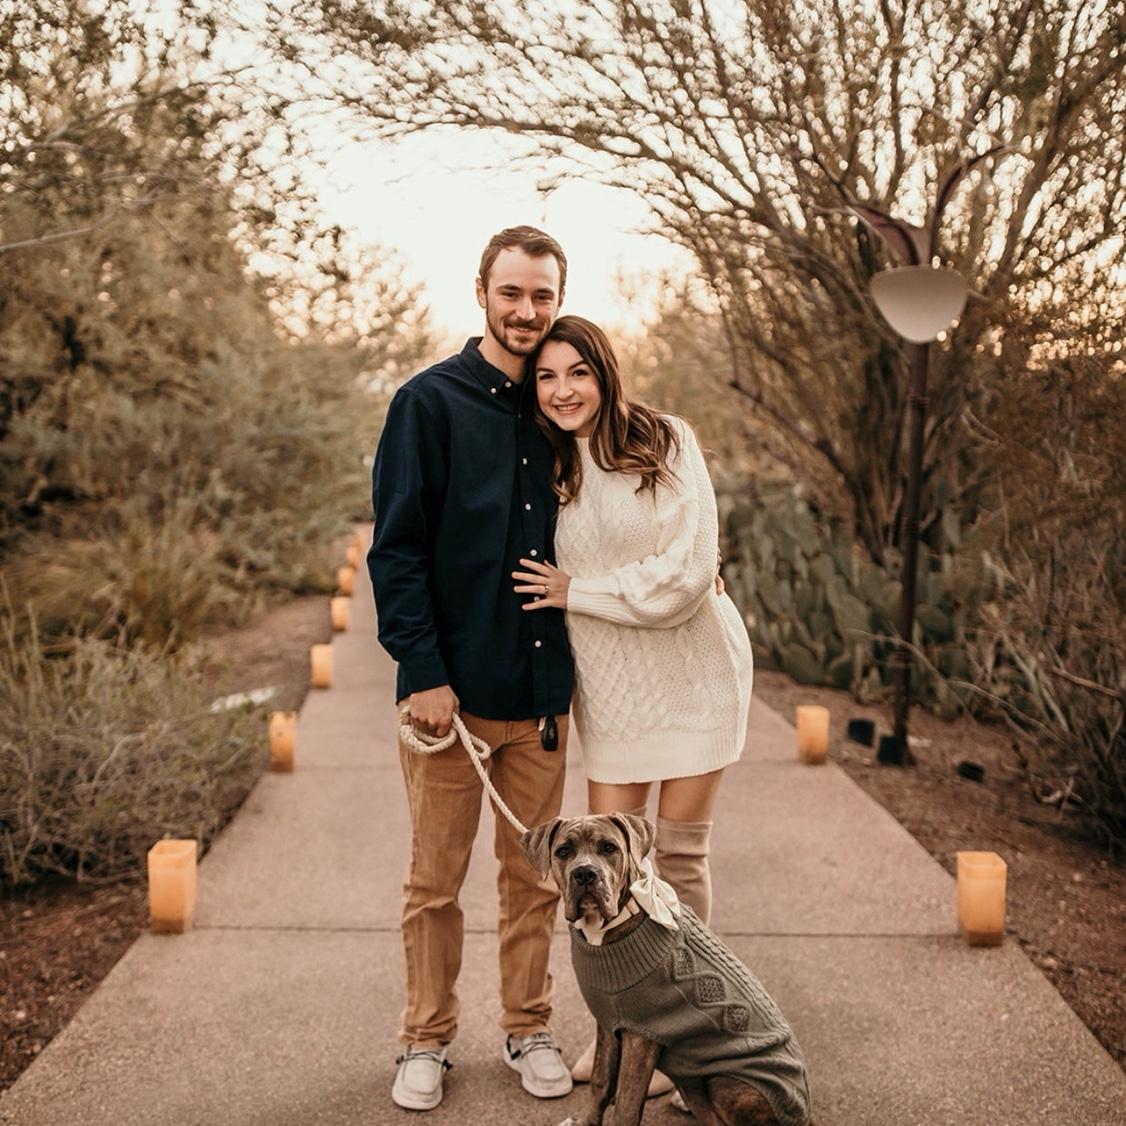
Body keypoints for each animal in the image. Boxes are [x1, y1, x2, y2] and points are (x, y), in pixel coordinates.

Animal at [523, 813, 813, 1126]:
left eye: (609, 848)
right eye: (563, 851)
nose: (586, 873)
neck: (607, 927)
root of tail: (806, 1115)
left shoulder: (641, 1037)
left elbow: (626, 1104)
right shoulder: (608, 1024)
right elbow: (600, 1083)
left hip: (726, 1083)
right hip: (693, 1084)